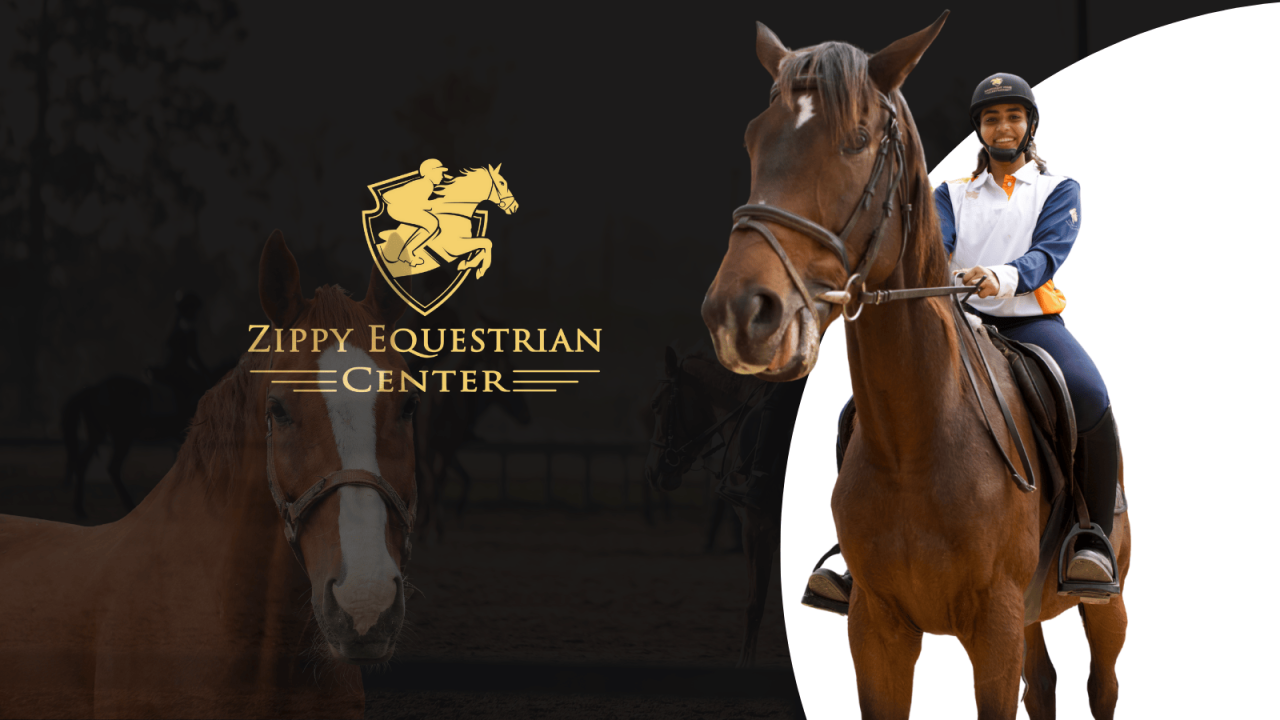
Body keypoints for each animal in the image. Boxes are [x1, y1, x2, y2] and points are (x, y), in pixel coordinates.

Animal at [378, 164, 517, 280]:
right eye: (502, 183)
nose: (515, 206)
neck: (454, 211)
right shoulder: (454, 247)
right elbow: (487, 242)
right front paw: (480, 270)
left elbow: (485, 244)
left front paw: (467, 264)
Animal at [701, 16, 1130, 719]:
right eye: (754, 139)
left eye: (857, 141)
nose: (740, 313)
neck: (915, 444)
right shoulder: (877, 629)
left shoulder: (995, 627)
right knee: (1044, 683)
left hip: (1103, 606)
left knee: (1103, 685)